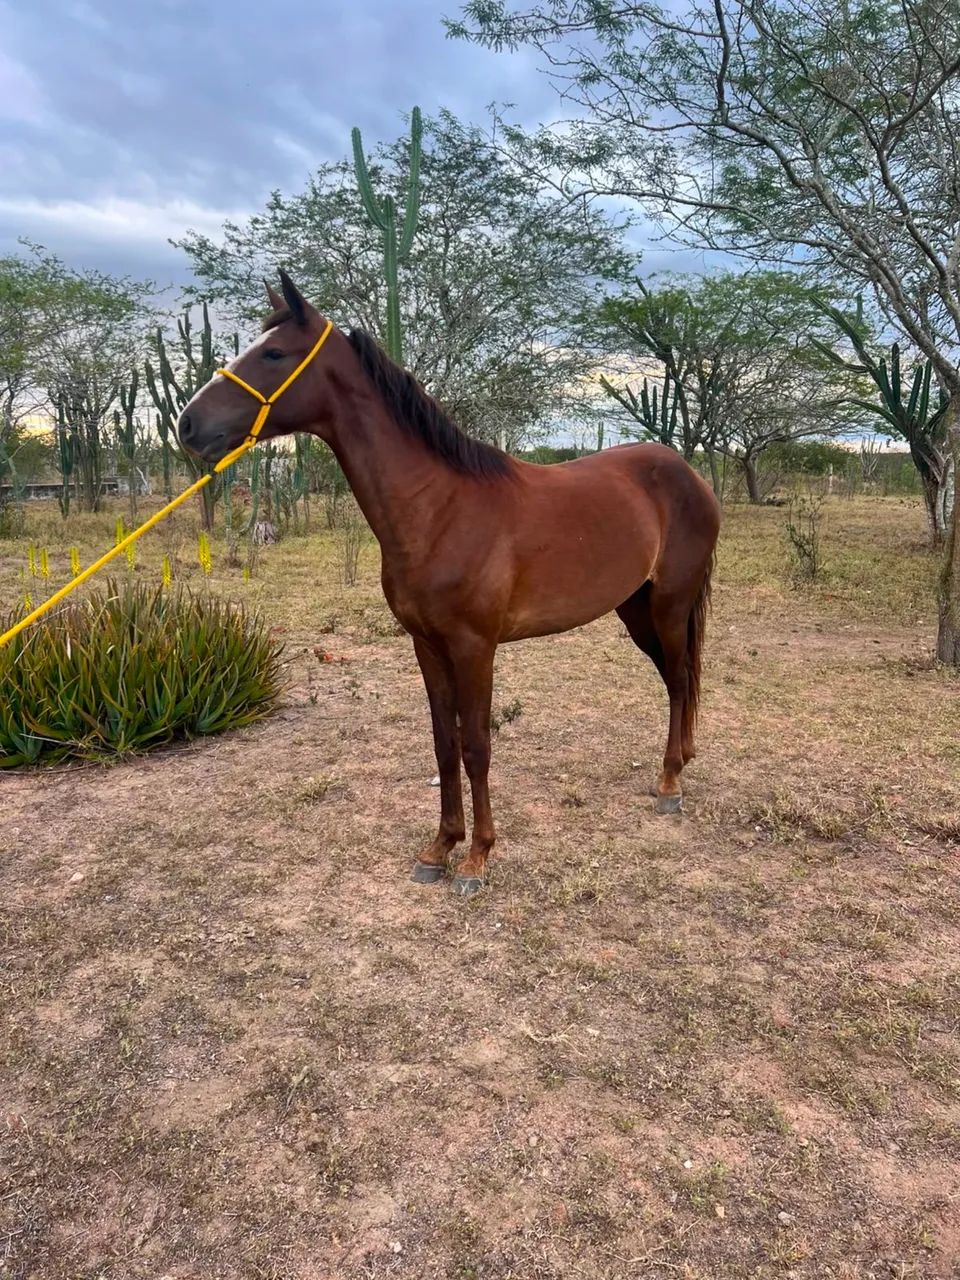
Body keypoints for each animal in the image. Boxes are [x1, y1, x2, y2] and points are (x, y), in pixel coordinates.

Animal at [178, 271, 721, 896]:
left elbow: (477, 745)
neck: (439, 509)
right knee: (675, 679)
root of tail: (689, 475)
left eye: (273, 353)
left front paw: (478, 857)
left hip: (670, 603)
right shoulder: (427, 645)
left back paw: (670, 784)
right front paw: (440, 847)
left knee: (679, 680)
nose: (188, 423)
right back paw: (681, 761)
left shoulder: (474, 647)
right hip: (635, 610)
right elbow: (444, 745)